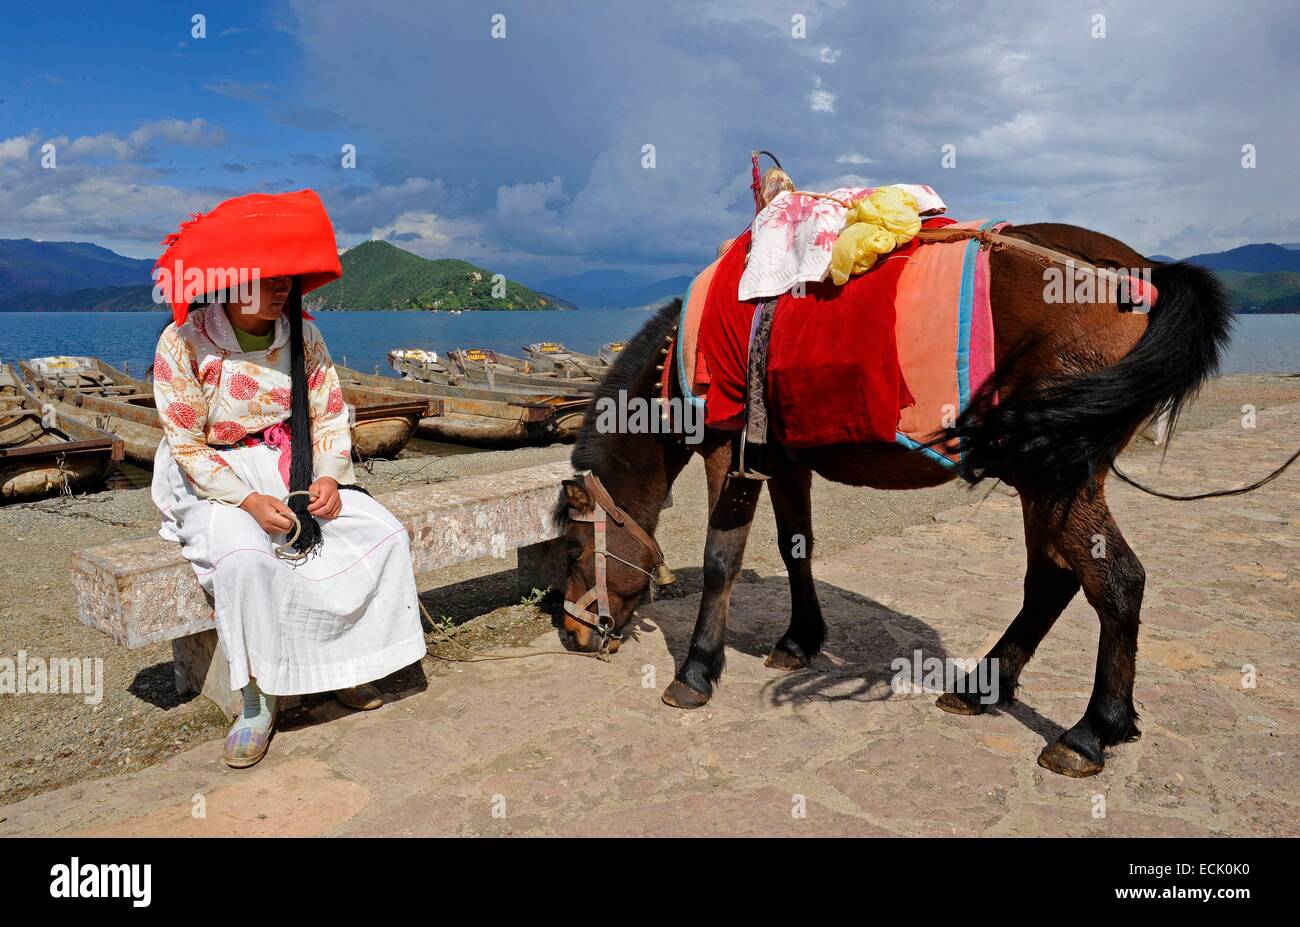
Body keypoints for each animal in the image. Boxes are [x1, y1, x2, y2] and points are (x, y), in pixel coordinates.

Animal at [553, 223, 1232, 774]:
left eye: (574, 553)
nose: (575, 634)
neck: (685, 347)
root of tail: (1139, 273)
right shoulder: (786, 459)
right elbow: (795, 548)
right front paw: (799, 639)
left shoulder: (729, 449)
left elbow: (723, 560)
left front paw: (696, 669)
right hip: (1042, 476)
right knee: (1053, 579)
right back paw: (987, 686)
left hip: (1054, 475)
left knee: (1115, 581)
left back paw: (1092, 731)